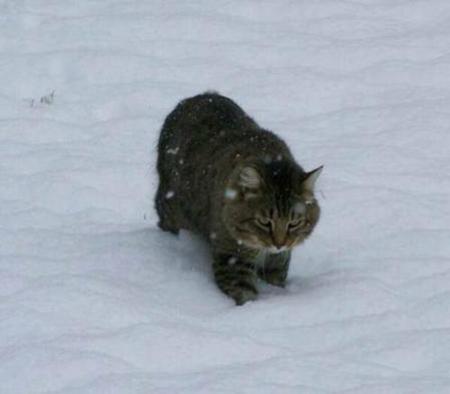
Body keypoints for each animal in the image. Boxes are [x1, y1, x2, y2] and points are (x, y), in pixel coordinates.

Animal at [156, 91, 324, 304]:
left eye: (294, 223)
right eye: (264, 222)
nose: (279, 244)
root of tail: (197, 96)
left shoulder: (279, 261)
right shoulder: (231, 257)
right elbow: (244, 292)